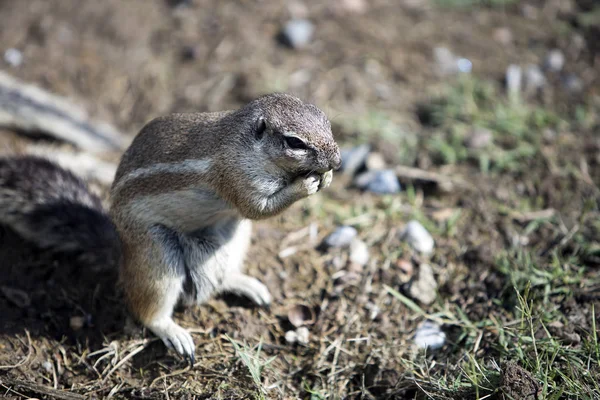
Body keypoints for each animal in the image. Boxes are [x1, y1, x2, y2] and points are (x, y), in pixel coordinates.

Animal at [0, 92, 340, 364]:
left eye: (327, 121)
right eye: (294, 142)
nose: (336, 161)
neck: (245, 144)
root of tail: (122, 254)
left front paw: (327, 177)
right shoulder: (236, 177)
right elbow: (258, 209)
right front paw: (307, 184)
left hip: (234, 235)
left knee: (221, 276)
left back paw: (245, 284)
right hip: (157, 256)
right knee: (148, 308)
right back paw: (173, 332)